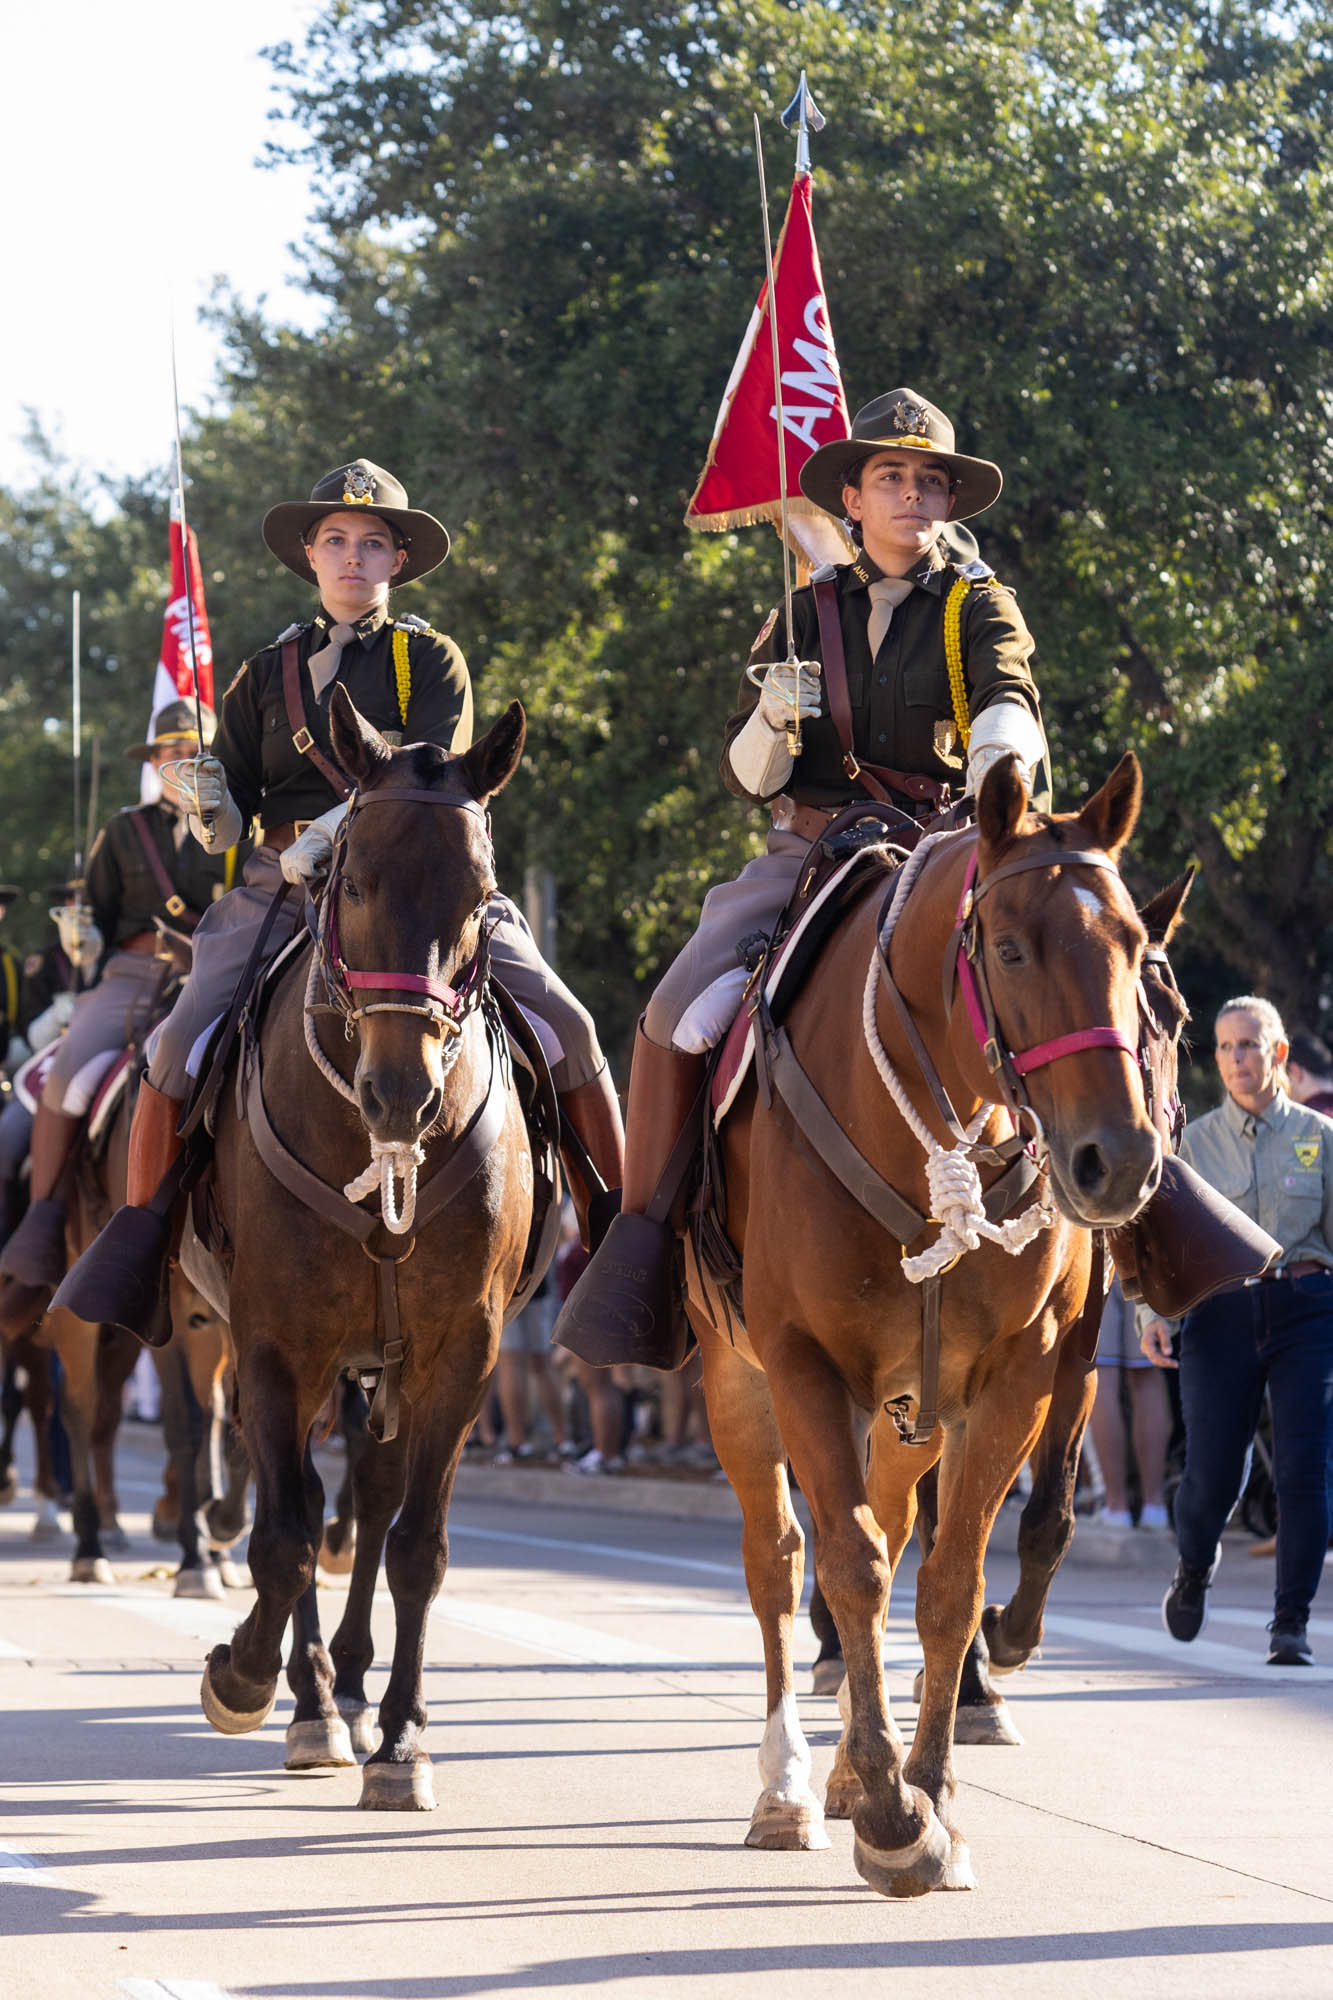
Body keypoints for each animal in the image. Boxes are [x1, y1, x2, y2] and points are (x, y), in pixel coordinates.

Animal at [183, 692, 536, 1816]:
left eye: (482, 895)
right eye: (350, 881)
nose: (401, 1094)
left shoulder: (461, 1352)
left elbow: (416, 1543)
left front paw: (405, 1738)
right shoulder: (271, 1346)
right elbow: (286, 1537)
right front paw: (247, 1676)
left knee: (369, 1503)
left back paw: (344, 1687)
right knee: (289, 1502)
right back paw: (307, 1698)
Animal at [684, 748, 1176, 1888]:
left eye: (1136, 946)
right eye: (1009, 946)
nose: (1120, 1159)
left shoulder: (1017, 1380)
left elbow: (948, 1580)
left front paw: (934, 1791)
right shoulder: (801, 1363)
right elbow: (849, 1567)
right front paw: (890, 1814)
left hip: (908, 1412)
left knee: (890, 1519)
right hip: (738, 1379)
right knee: (779, 1559)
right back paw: (787, 1787)